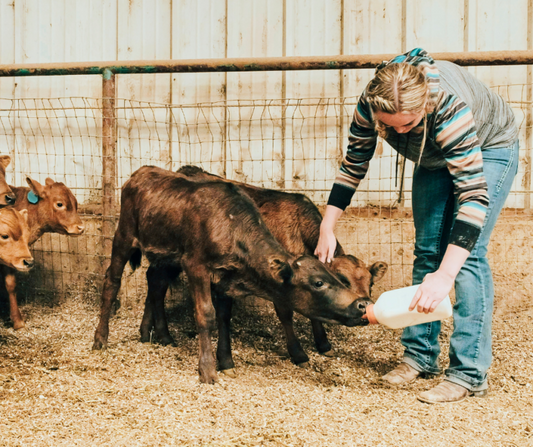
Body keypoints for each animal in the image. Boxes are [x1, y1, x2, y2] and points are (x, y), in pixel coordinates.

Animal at [92, 166, 370, 384]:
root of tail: (141, 172)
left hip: (165, 255)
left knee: (155, 282)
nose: (363, 304)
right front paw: (207, 370)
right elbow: (207, 315)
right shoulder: (196, 265)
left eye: (371, 283)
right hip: (124, 236)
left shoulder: (226, 276)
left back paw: (157, 334)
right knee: (112, 281)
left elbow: (224, 317)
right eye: (319, 282)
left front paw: (226, 361)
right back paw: (101, 339)